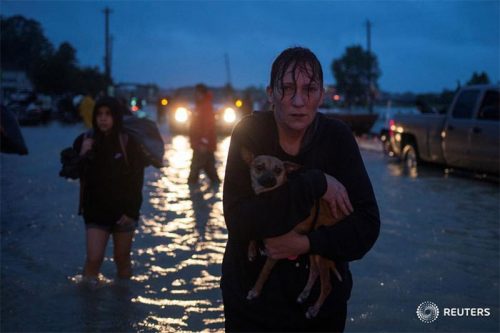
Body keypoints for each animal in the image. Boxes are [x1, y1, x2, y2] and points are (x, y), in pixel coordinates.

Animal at [241, 148, 344, 320]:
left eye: (278, 170)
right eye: (259, 167)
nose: (270, 179)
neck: (269, 196)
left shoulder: (276, 252)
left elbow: (263, 273)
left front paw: (255, 291)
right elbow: (255, 229)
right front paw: (252, 250)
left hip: (321, 256)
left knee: (327, 286)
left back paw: (314, 309)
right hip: (312, 249)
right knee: (314, 272)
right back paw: (304, 294)